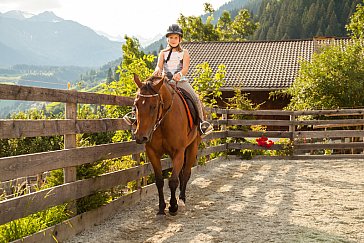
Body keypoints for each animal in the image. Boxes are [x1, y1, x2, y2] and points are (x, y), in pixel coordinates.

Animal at [132, 74, 200, 216]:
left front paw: (173, 206)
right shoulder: (152, 153)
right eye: (135, 105)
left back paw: (182, 199)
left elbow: (173, 181)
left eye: (154, 106)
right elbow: (159, 181)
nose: (141, 137)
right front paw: (161, 207)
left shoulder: (179, 152)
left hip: (193, 146)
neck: (163, 122)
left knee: (186, 173)